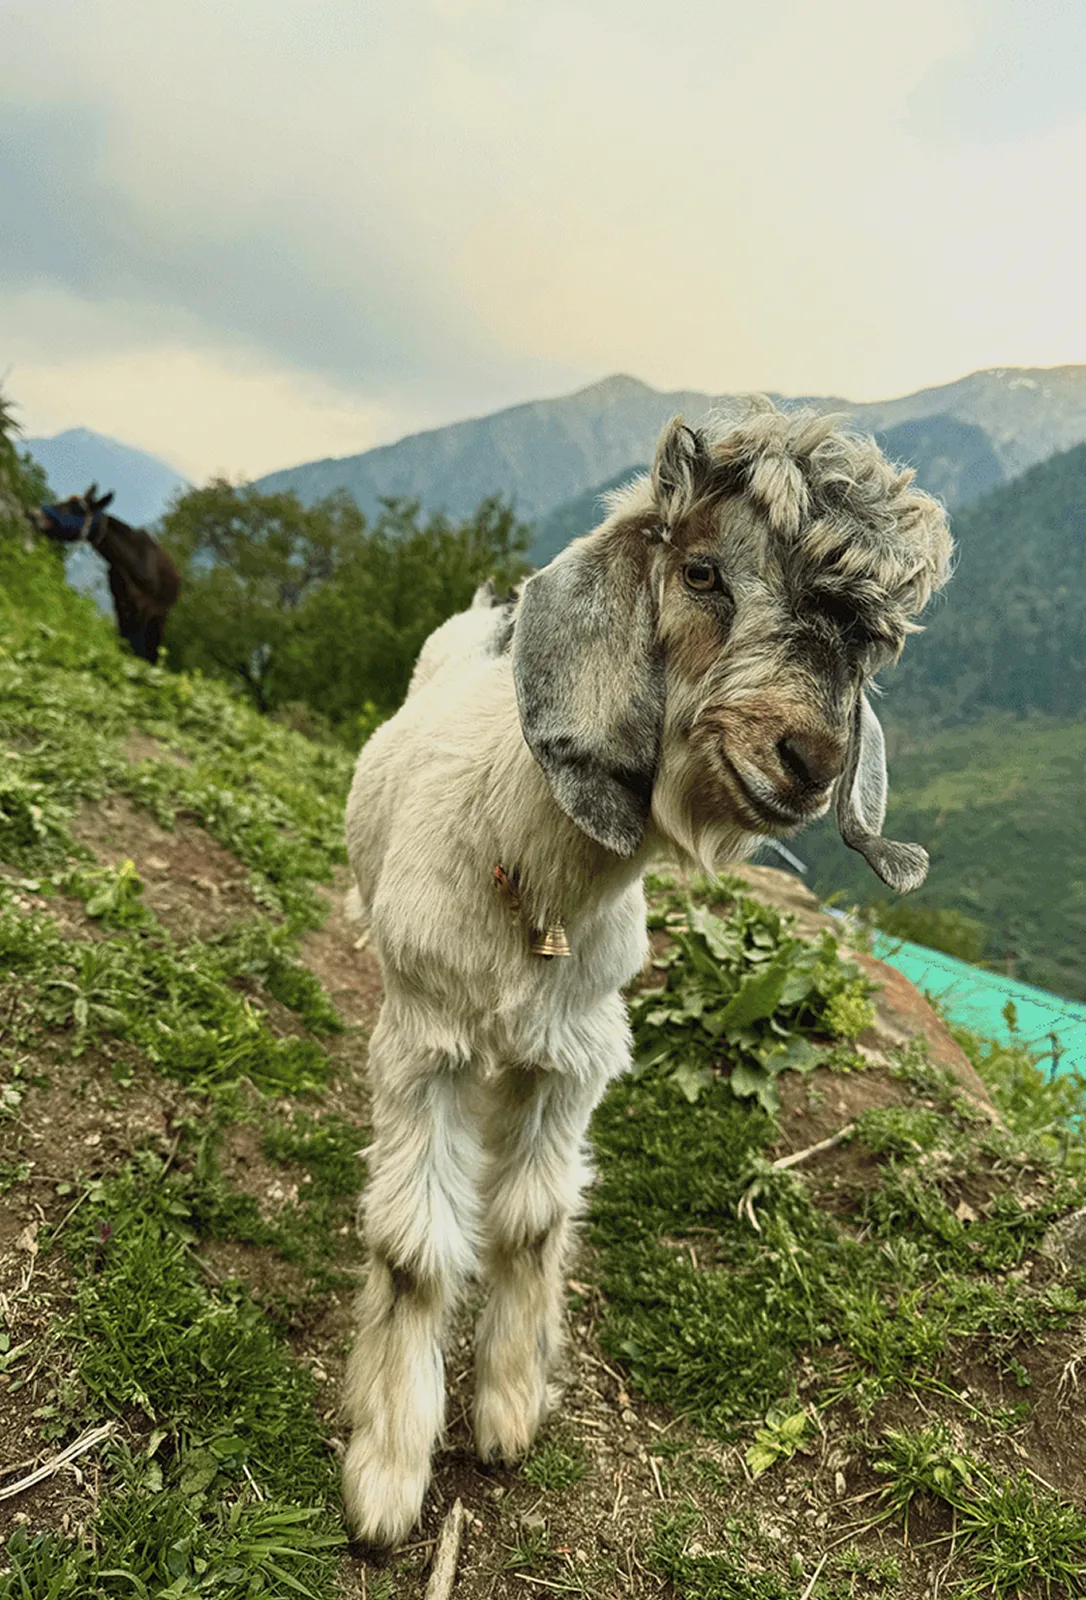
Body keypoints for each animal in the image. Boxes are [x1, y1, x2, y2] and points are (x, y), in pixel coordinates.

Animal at [33, 484, 181, 664]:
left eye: (78, 509)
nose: (37, 515)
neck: (131, 561)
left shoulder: (147, 608)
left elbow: (140, 647)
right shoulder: (120, 603)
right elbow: (125, 642)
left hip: (161, 614)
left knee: (153, 646)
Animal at [340, 401, 953, 1545]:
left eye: (871, 647)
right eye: (705, 572)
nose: (807, 759)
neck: (531, 879)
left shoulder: (574, 1056)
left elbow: (533, 1222)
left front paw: (508, 1410)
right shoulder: (426, 1043)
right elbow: (415, 1244)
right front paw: (388, 1477)